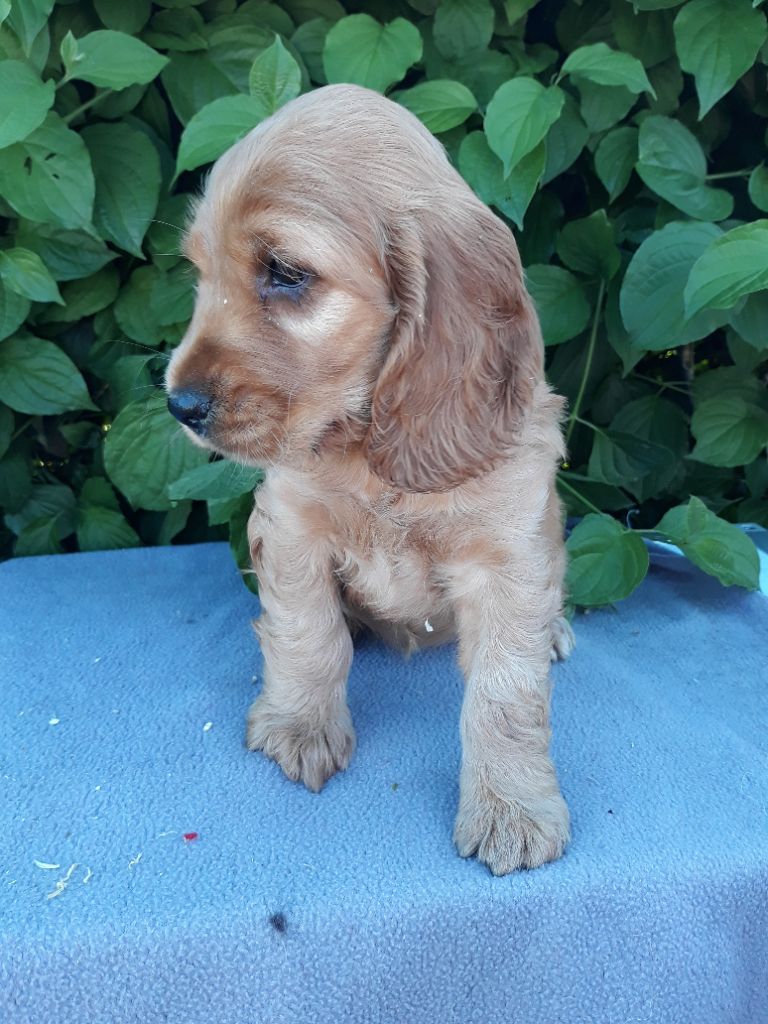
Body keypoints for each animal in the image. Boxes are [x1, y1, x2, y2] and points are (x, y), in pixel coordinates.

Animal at [166, 84, 574, 876]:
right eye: (200, 275)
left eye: (285, 272)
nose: (180, 405)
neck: (371, 450)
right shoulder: (290, 526)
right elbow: (307, 631)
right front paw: (300, 727)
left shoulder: (509, 556)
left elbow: (506, 693)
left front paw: (511, 808)